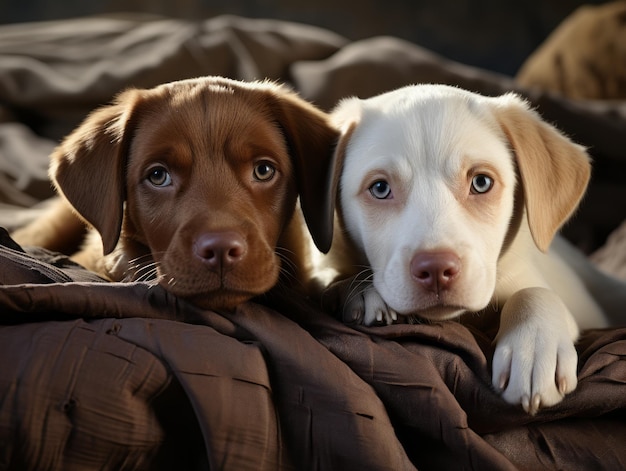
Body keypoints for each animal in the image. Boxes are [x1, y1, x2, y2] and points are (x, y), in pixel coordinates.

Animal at [316, 85, 624, 416]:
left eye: (481, 182)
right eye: (380, 189)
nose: (436, 269)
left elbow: (535, 292)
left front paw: (534, 347)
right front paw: (362, 291)